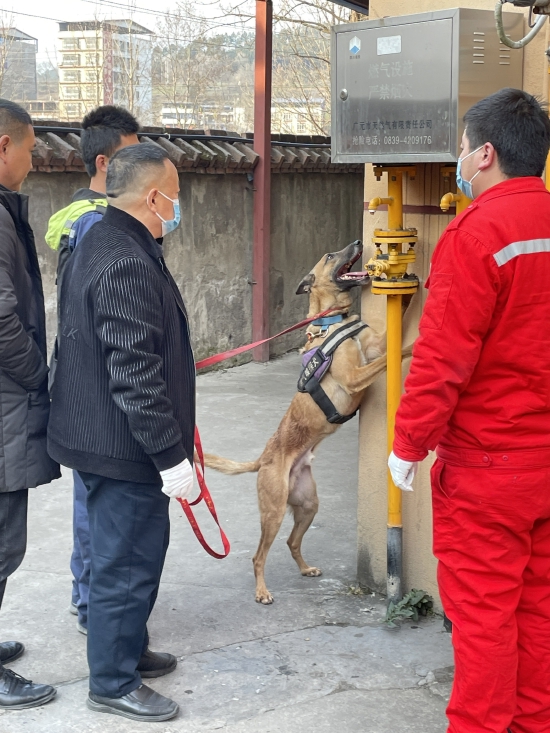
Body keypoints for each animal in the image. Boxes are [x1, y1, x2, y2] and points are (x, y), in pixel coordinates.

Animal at [205, 243, 412, 604]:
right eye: (330, 256)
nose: (357, 244)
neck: (331, 322)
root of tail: (264, 459)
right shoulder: (354, 376)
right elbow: (391, 357)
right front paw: (413, 346)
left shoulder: (374, 345)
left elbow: (391, 334)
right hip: (273, 511)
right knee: (258, 555)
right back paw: (262, 591)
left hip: (308, 505)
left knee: (292, 541)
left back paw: (305, 569)